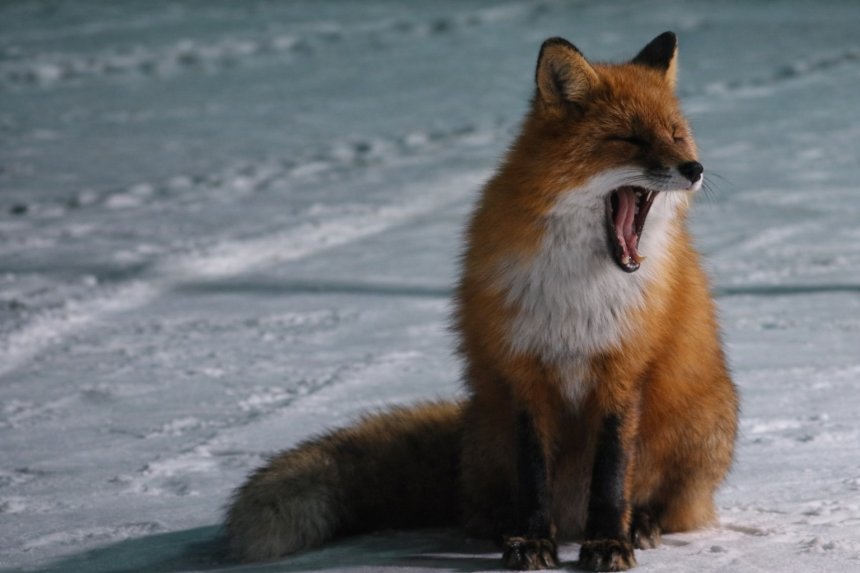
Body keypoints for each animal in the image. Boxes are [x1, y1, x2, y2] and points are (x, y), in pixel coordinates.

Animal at [225, 32, 739, 572]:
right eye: (632, 139)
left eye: (676, 136)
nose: (695, 169)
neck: (581, 290)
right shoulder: (523, 369)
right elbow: (533, 475)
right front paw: (531, 541)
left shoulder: (623, 370)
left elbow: (611, 473)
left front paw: (607, 542)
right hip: (490, 432)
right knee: (477, 508)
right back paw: (504, 529)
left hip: (696, 423)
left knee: (671, 505)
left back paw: (640, 522)